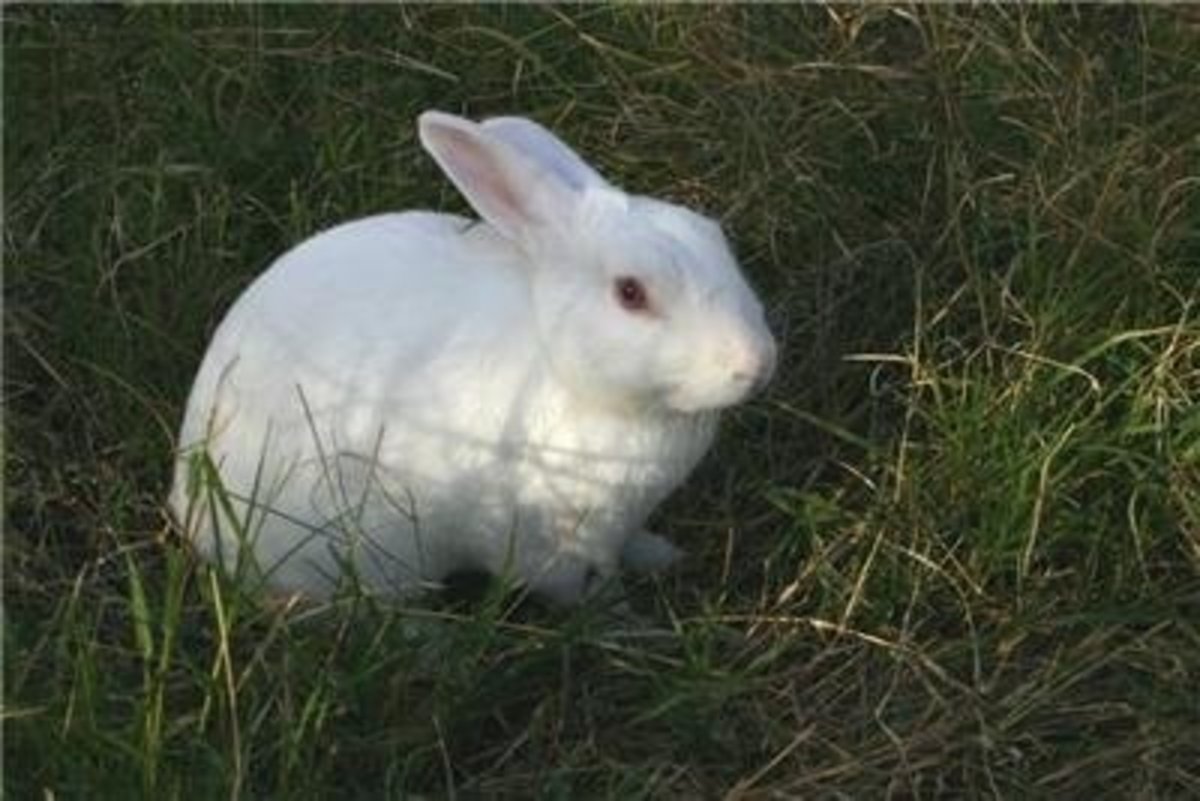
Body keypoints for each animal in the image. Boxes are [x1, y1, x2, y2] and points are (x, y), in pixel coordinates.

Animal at [169, 110, 777, 605]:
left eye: (714, 235)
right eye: (631, 293)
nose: (757, 363)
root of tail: (190, 512)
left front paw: (662, 556)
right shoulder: (540, 544)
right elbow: (575, 590)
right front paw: (621, 617)